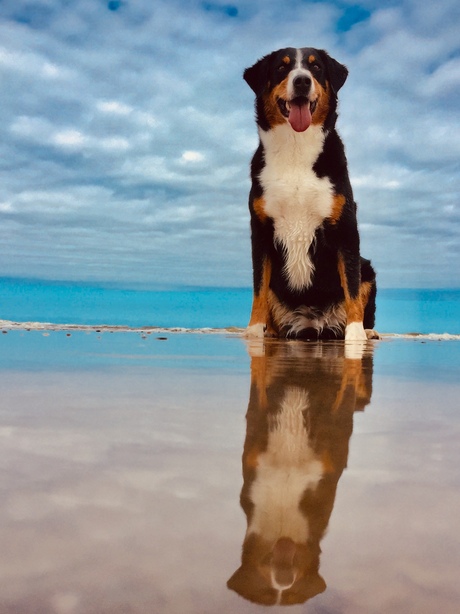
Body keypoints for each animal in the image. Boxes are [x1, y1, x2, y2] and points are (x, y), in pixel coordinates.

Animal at [244, 48, 378, 344]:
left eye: (315, 68)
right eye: (281, 68)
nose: (303, 80)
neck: (296, 148)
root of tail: (313, 324)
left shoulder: (345, 228)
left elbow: (351, 283)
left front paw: (355, 333)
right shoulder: (260, 230)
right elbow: (259, 287)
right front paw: (254, 330)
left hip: (369, 271)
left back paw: (368, 330)